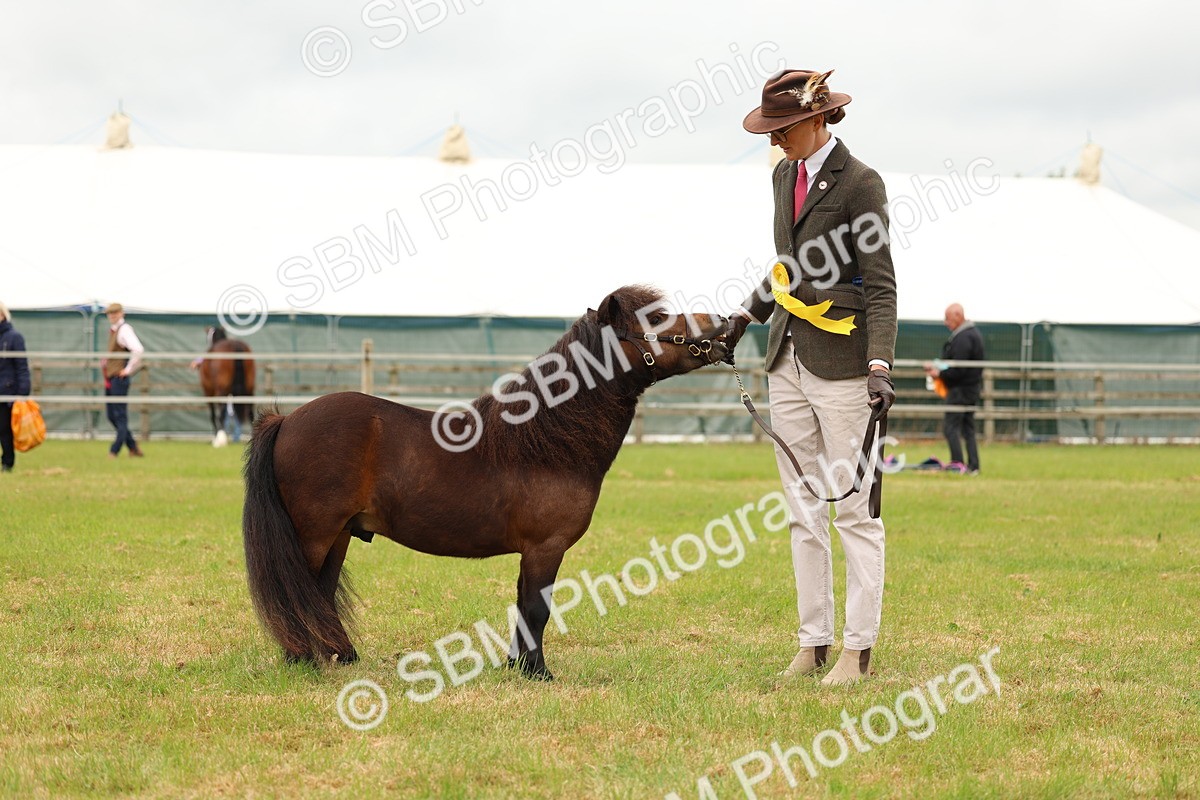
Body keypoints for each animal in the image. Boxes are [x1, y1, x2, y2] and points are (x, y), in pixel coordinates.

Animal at [241, 286, 729, 679]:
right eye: (657, 318)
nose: (723, 324)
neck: (546, 443)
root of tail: (287, 420)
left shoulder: (533, 551)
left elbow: (523, 606)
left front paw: (517, 666)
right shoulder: (546, 547)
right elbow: (537, 608)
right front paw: (537, 674)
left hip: (340, 534)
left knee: (319, 593)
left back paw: (336, 656)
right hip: (315, 534)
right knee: (297, 590)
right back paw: (303, 659)